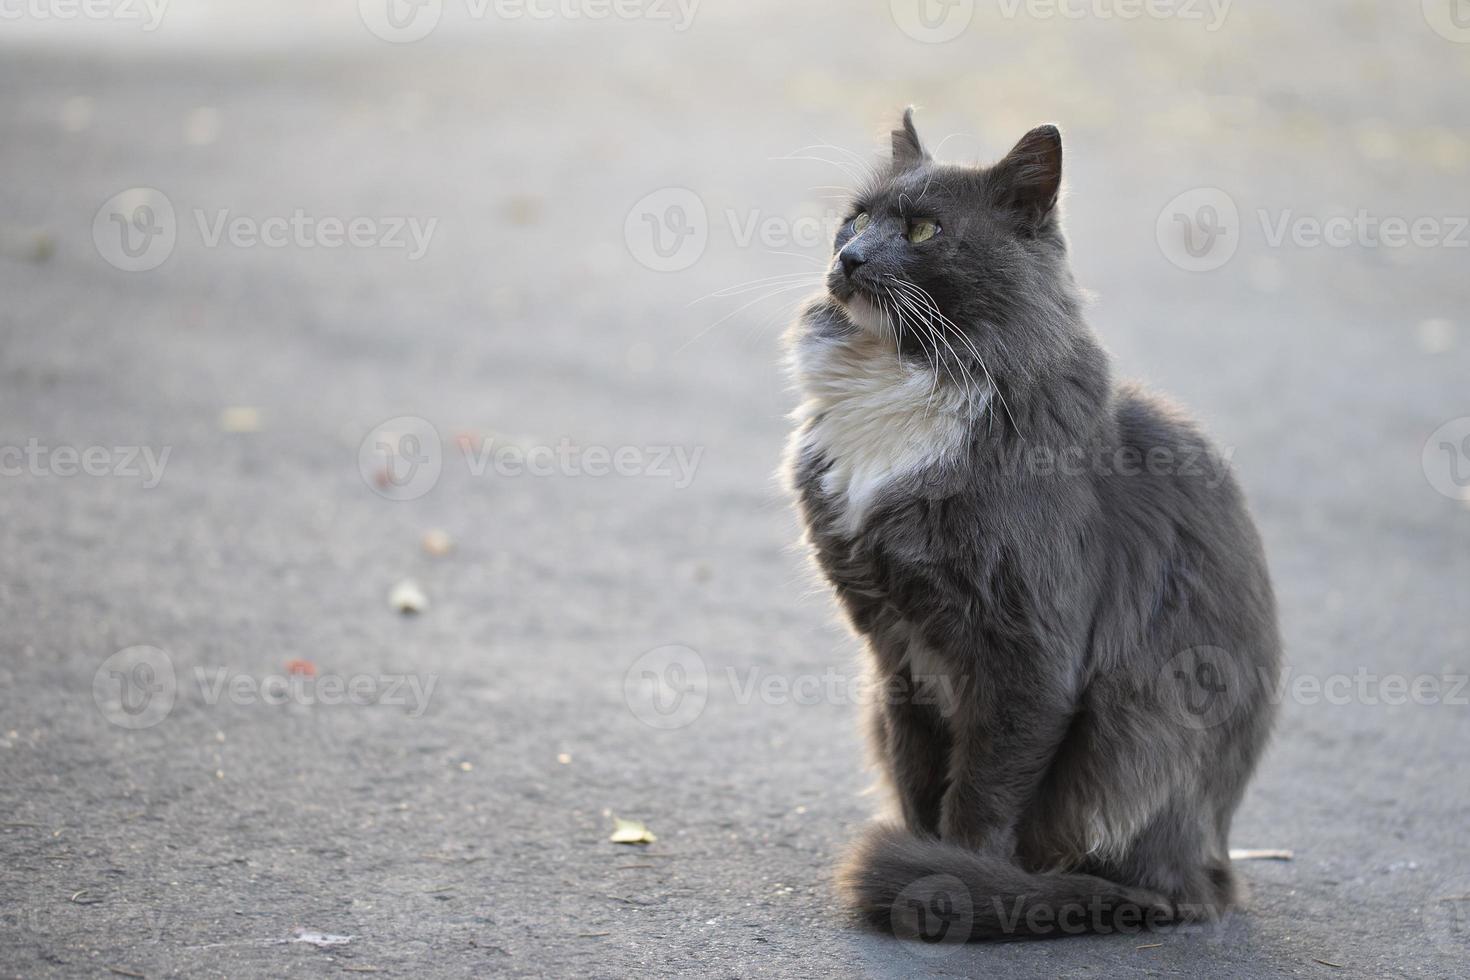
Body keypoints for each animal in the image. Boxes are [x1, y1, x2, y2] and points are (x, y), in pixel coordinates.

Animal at [787, 109, 1281, 940]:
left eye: (922, 229)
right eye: (854, 218)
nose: (849, 257)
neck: (910, 379)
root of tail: (1210, 868)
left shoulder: (1028, 656)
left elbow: (981, 797)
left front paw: (950, 880)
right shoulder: (896, 651)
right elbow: (921, 782)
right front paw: (924, 859)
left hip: (1136, 725)